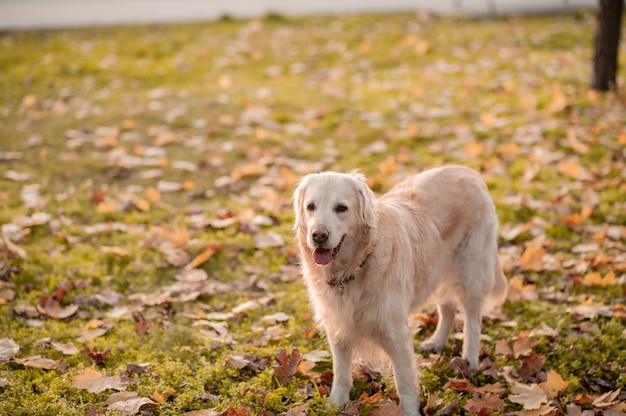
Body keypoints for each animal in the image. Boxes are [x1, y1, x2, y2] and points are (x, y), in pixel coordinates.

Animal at [294, 166, 508, 416]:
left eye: (341, 208)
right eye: (311, 206)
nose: (318, 235)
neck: (356, 266)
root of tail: (469, 171)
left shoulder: (395, 331)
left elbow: (404, 381)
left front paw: (411, 411)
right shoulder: (338, 327)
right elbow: (341, 372)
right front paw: (336, 403)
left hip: (470, 271)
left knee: (473, 322)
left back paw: (469, 362)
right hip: (436, 269)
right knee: (447, 307)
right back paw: (437, 341)